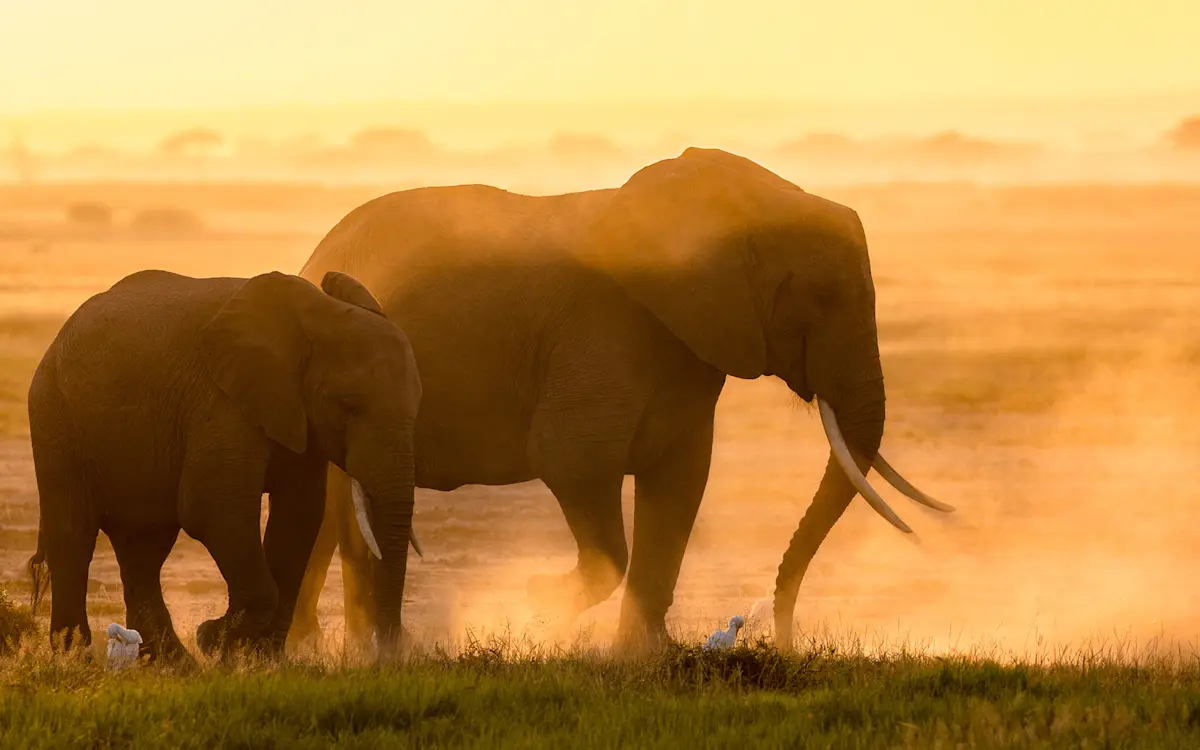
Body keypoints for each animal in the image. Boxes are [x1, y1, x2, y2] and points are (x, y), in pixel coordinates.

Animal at [25, 268, 423, 662]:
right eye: (347, 407)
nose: (389, 655)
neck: (319, 313)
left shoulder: (299, 417)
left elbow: (300, 515)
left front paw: (261, 659)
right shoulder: (222, 401)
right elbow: (212, 509)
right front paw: (215, 640)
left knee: (144, 546)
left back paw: (175, 665)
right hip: (54, 418)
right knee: (75, 535)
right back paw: (75, 657)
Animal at [290, 146, 952, 651]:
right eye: (817, 298)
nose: (782, 638)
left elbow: (681, 483)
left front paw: (645, 656)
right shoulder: (598, 335)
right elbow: (573, 462)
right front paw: (536, 597)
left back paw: (321, 652)